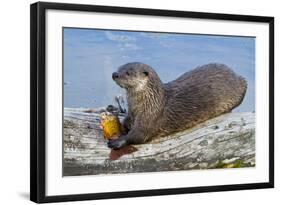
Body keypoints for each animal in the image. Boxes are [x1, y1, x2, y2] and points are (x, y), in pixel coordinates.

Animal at [107, 62, 245, 149]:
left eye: (128, 73)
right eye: (120, 68)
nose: (114, 74)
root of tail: (236, 75)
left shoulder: (151, 117)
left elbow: (137, 135)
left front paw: (118, 141)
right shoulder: (132, 113)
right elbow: (125, 124)